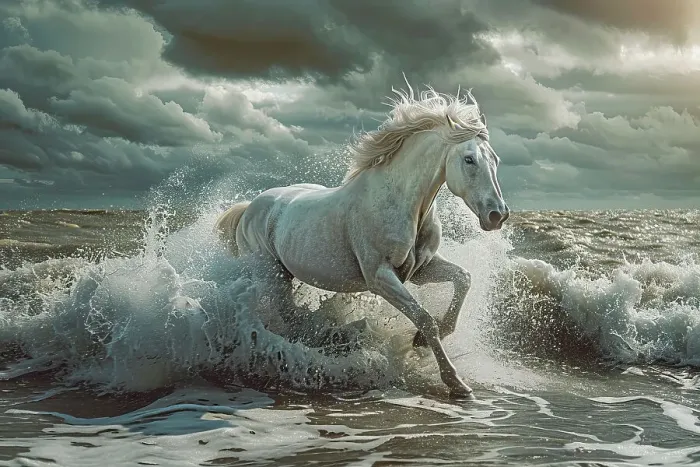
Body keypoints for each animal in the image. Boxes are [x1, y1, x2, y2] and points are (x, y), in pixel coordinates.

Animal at [215, 82, 509, 398]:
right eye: (469, 159)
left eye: (495, 160)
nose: (498, 215)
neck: (399, 203)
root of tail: (250, 206)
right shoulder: (380, 278)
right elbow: (425, 319)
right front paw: (455, 382)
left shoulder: (421, 270)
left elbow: (463, 279)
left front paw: (424, 339)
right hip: (270, 273)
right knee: (286, 314)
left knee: (292, 314)